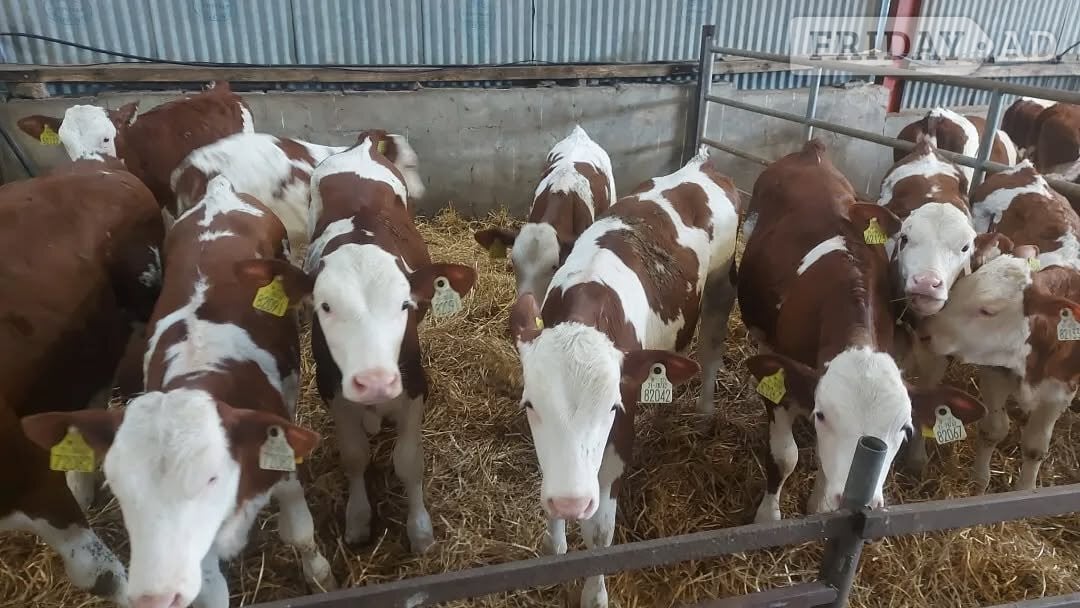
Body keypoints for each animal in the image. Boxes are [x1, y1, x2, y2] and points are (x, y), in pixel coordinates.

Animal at [22, 176, 335, 608]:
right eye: (120, 487)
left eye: (211, 477)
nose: (154, 595)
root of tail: (218, 192)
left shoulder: (278, 457)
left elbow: (300, 531)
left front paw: (321, 576)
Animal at [253, 132, 475, 555]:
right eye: (325, 306)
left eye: (404, 304)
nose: (374, 381)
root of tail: (365, 144)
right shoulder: (333, 390)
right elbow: (355, 457)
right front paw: (357, 519)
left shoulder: (414, 386)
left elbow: (409, 462)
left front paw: (420, 530)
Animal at [508, 148, 739, 608]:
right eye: (530, 405)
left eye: (612, 408)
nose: (571, 502)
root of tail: (702, 163)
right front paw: (554, 548)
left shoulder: (620, 431)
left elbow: (600, 528)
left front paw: (594, 593)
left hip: (723, 284)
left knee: (711, 349)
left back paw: (705, 412)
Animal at [739, 140, 985, 523]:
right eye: (822, 415)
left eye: (904, 429)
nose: (859, 502)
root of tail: (812, 150)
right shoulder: (782, 381)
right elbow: (784, 456)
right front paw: (767, 517)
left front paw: (819, 504)